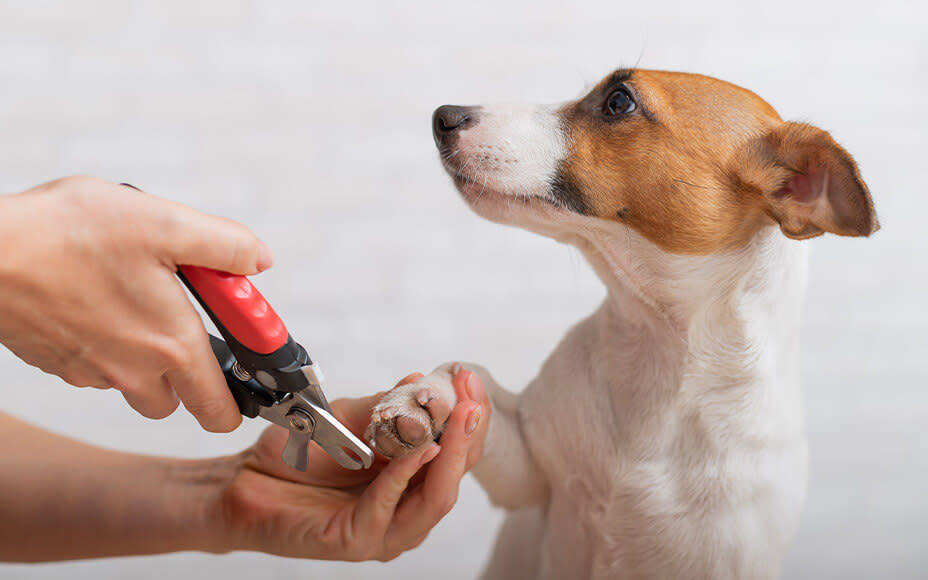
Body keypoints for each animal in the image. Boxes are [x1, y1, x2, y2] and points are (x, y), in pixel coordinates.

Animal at [362, 69, 876, 580]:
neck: (660, 346)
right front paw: (425, 399)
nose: (442, 116)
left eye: (618, 102)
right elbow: (470, 378)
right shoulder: (528, 474)